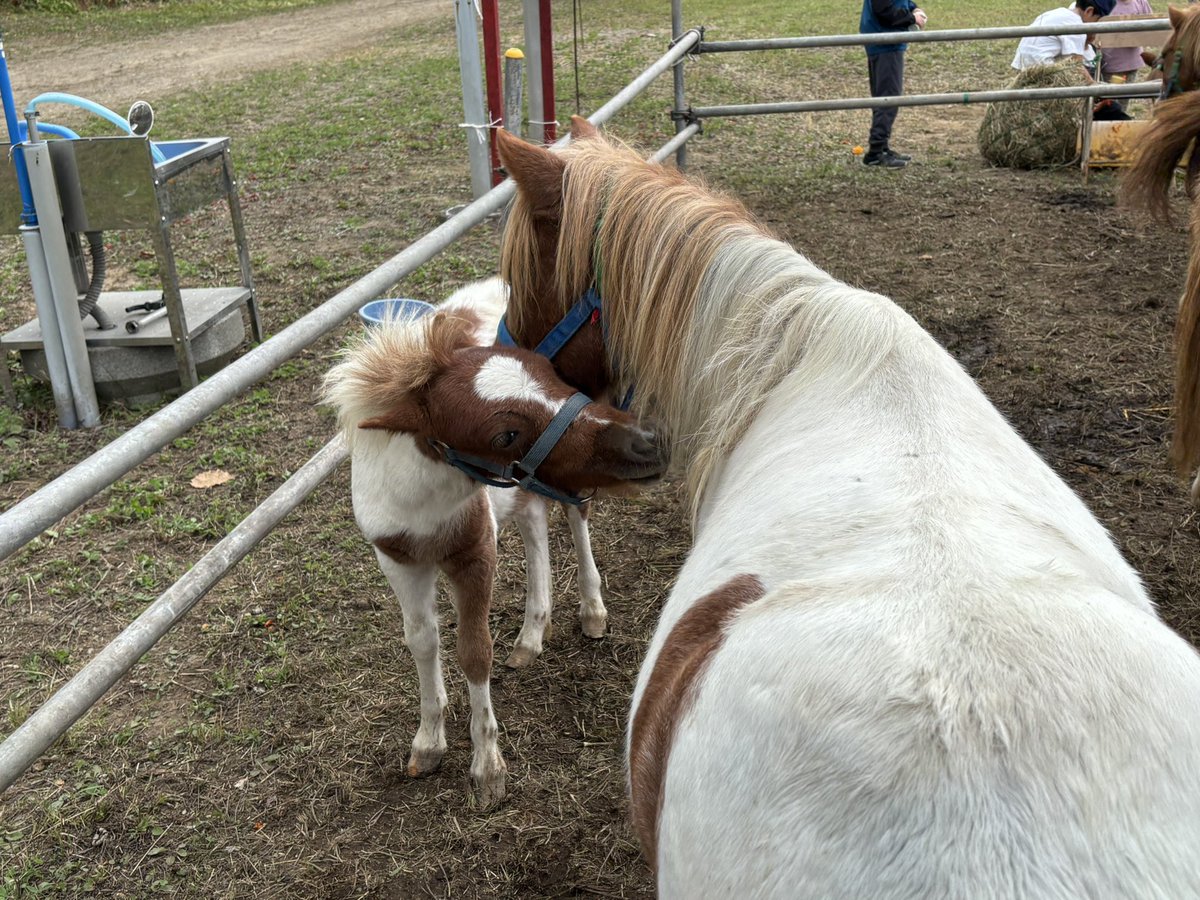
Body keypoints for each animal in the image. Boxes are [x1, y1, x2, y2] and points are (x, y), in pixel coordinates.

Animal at [322, 278, 668, 805]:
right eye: (505, 434)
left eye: (554, 375)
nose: (649, 442)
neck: (424, 501)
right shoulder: (398, 560)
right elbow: (422, 640)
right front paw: (428, 742)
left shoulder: (475, 552)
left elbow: (474, 650)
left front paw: (487, 768)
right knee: (534, 521)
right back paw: (531, 634)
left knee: (574, 514)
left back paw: (591, 610)